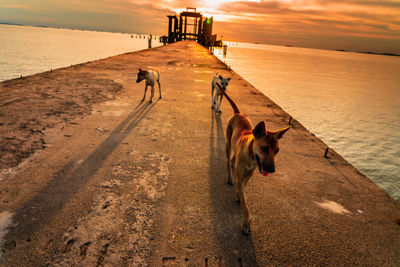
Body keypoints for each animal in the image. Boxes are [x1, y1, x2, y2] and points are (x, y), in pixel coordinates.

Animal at [217, 83, 290, 234]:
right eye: (264, 148)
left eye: (277, 151)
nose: (272, 170)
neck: (251, 155)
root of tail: (238, 113)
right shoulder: (241, 175)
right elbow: (245, 203)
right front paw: (246, 222)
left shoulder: (250, 173)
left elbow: (243, 187)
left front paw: (239, 194)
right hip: (228, 143)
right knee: (227, 160)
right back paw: (229, 176)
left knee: (232, 158)